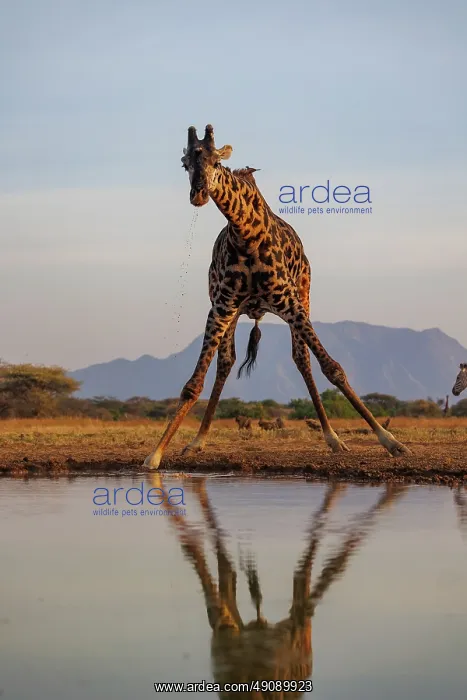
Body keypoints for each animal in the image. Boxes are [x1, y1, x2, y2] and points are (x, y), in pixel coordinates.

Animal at [143, 125, 411, 468]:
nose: (198, 194)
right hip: (233, 311)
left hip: (304, 297)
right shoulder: (220, 306)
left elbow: (333, 367)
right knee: (226, 362)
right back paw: (198, 441)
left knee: (302, 359)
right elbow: (193, 385)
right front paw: (156, 454)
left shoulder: (292, 304)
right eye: (185, 163)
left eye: (216, 162)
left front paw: (392, 442)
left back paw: (333, 438)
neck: (246, 234)